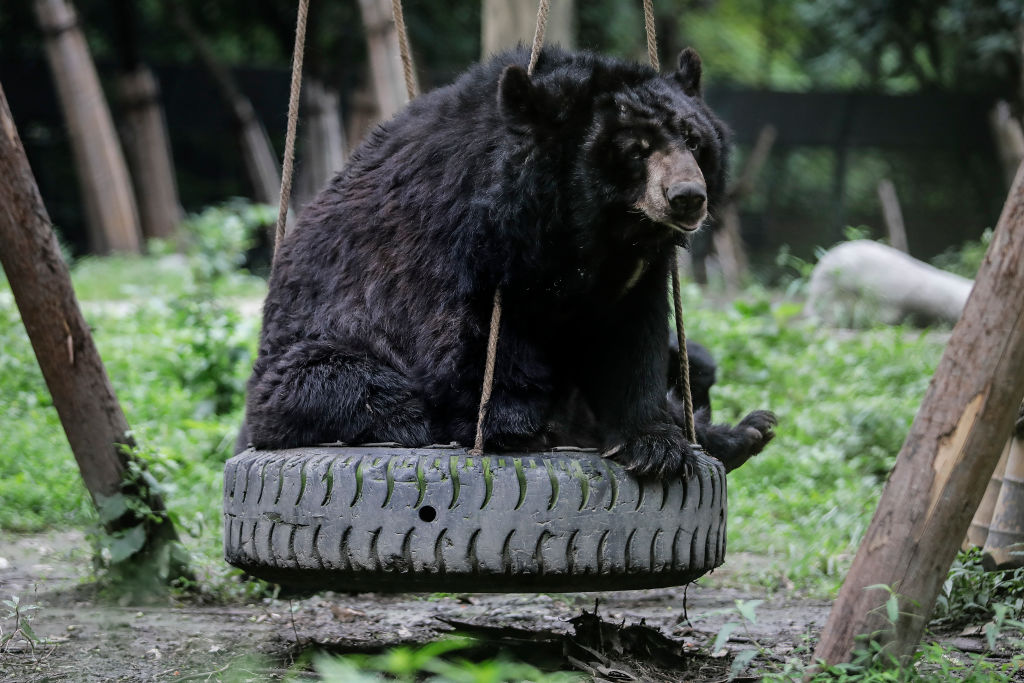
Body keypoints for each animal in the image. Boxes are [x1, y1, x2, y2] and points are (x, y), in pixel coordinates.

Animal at [239, 45, 770, 479]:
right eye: (635, 150)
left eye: (694, 141)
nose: (687, 197)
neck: (593, 228)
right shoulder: (460, 235)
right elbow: (470, 335)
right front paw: (514, 423)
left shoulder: (634, 274)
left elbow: (633, 340)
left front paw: (654, 446)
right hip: (303, 367)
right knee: (356, 385)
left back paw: (742, 432)